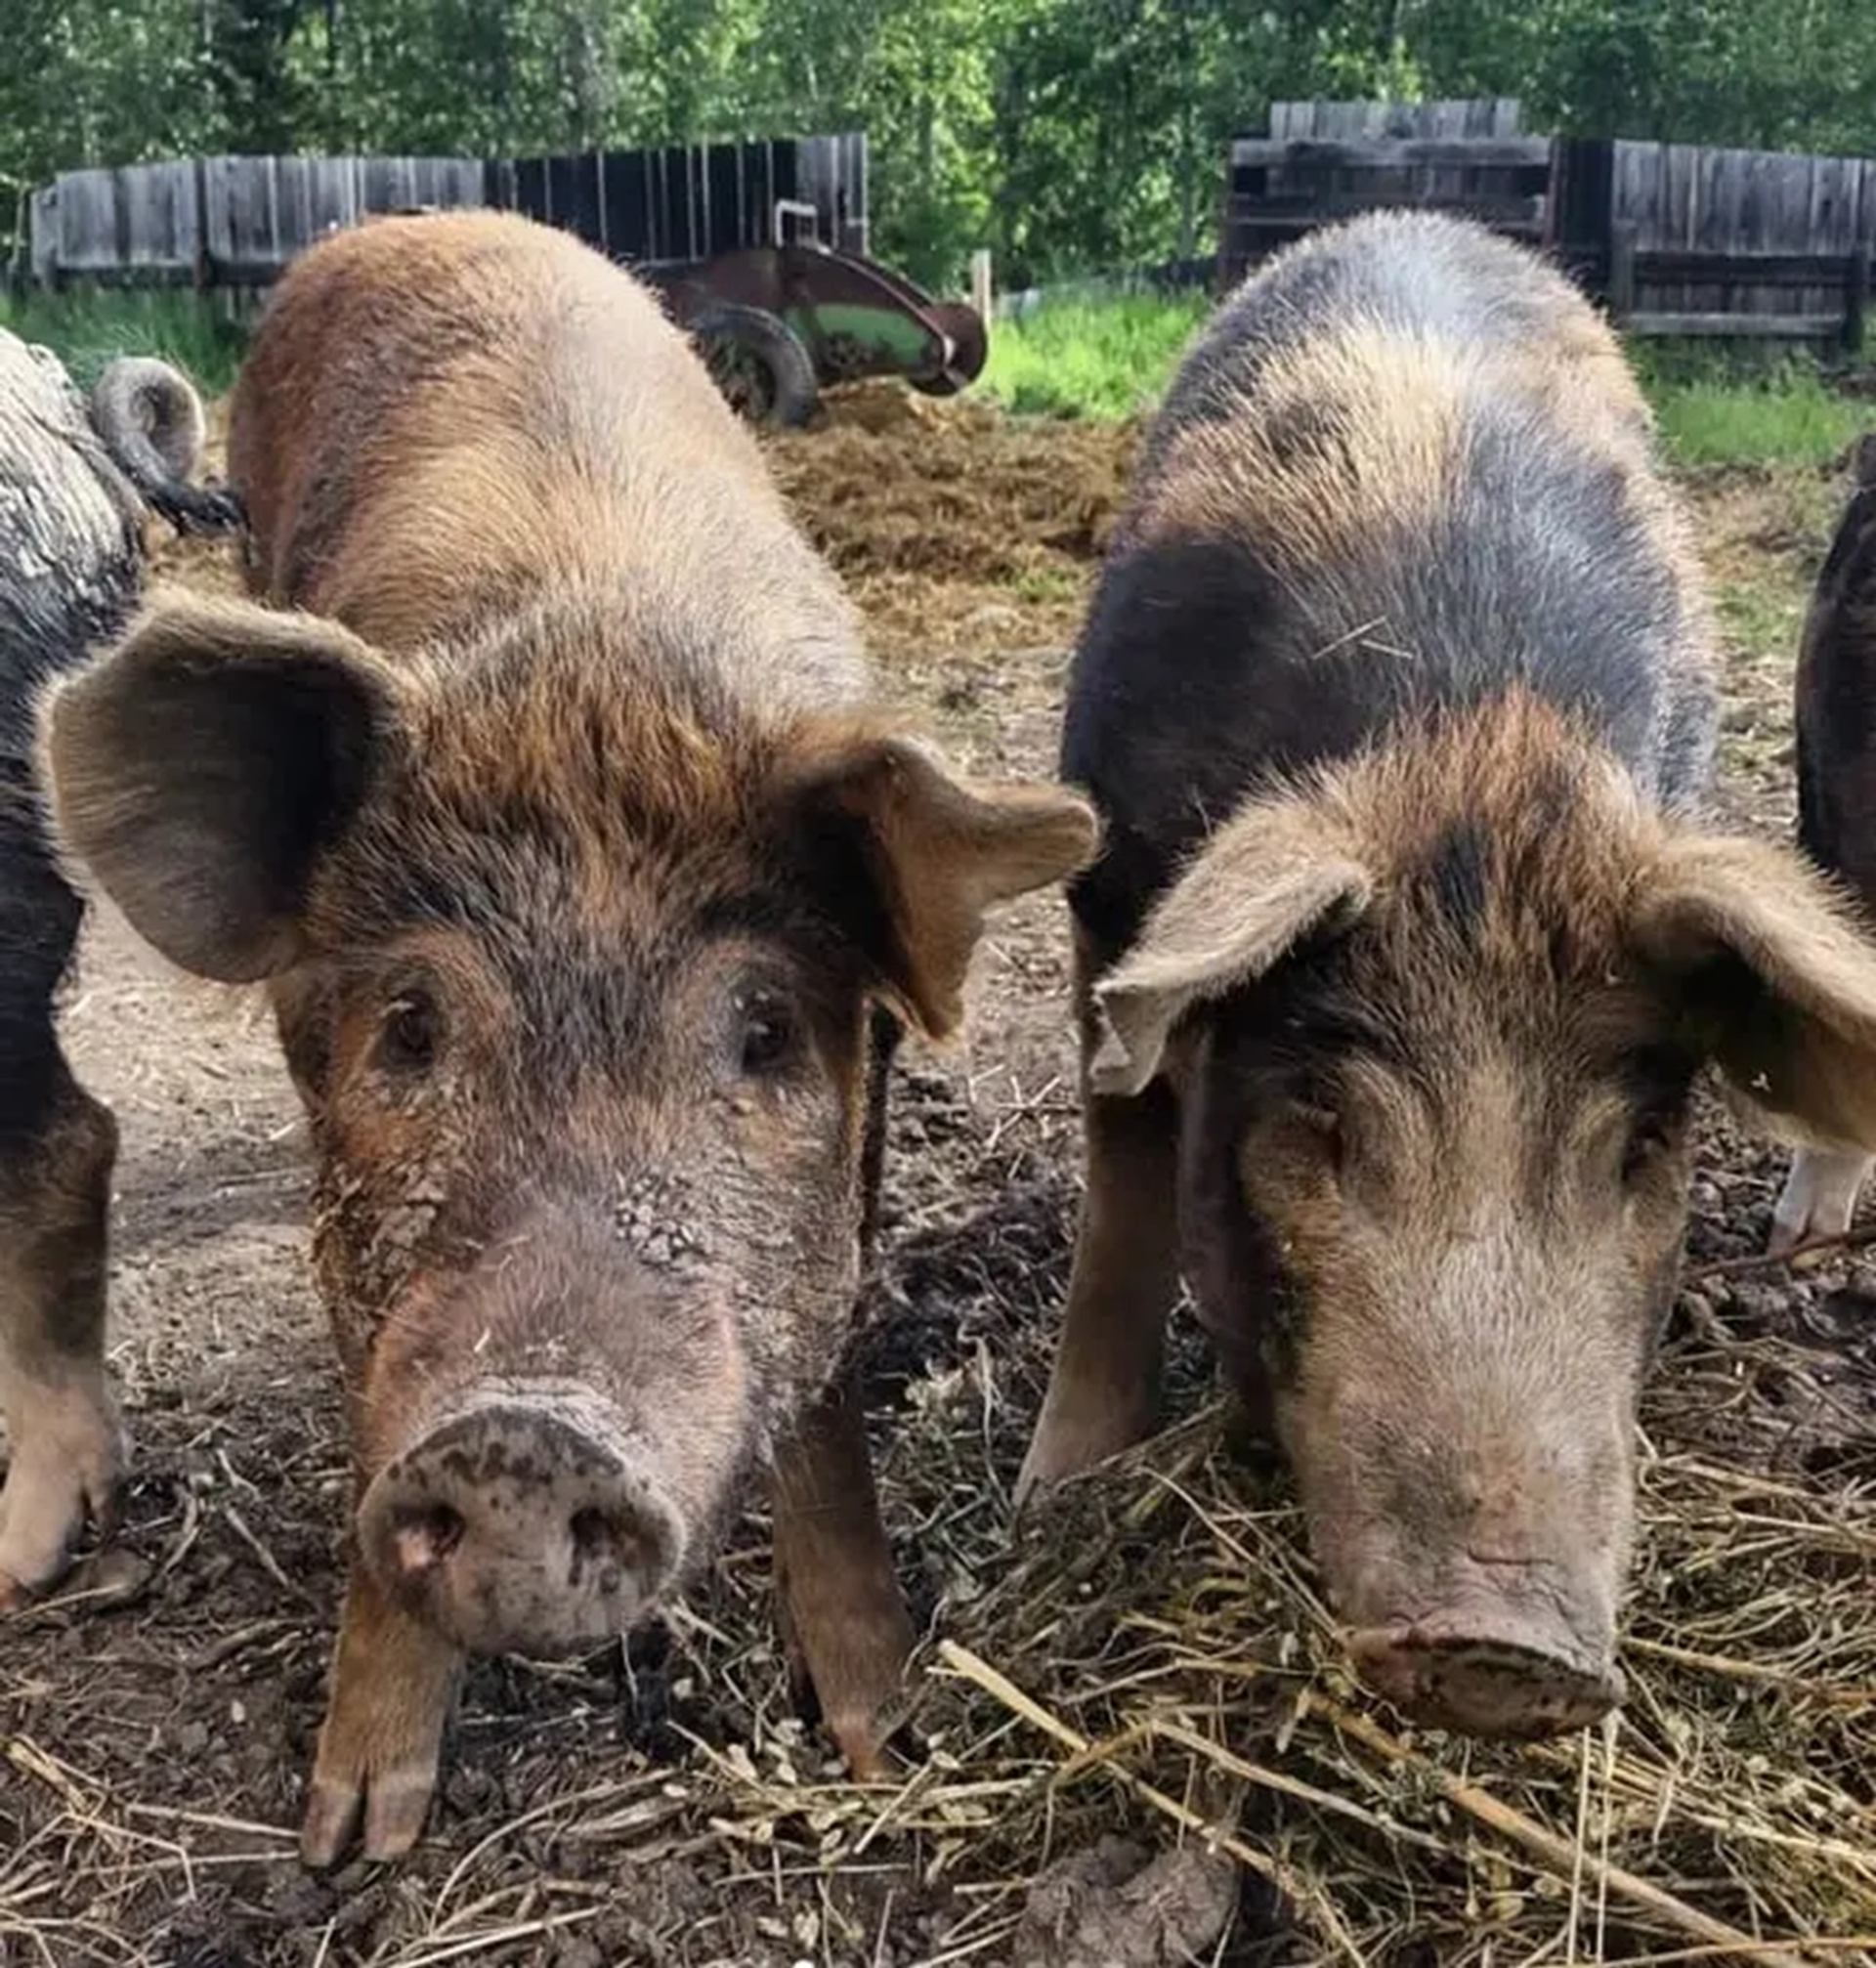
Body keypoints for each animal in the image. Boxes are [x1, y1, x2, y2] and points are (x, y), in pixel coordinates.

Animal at [29, 211, 1095, 1866]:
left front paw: (881, 1741)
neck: (594, 664)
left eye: (764, 1031)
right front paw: (353, 1840)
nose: (527, 1428)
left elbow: (830, 1389)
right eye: (410, 1025)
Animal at [1018, 212, 1876, 1740]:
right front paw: (1052, 1494)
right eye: (1325, 1124)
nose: (1503, 1642)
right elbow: (1122, 1190)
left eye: (1641, 1146)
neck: (1468, 741)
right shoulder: (1109, 893)